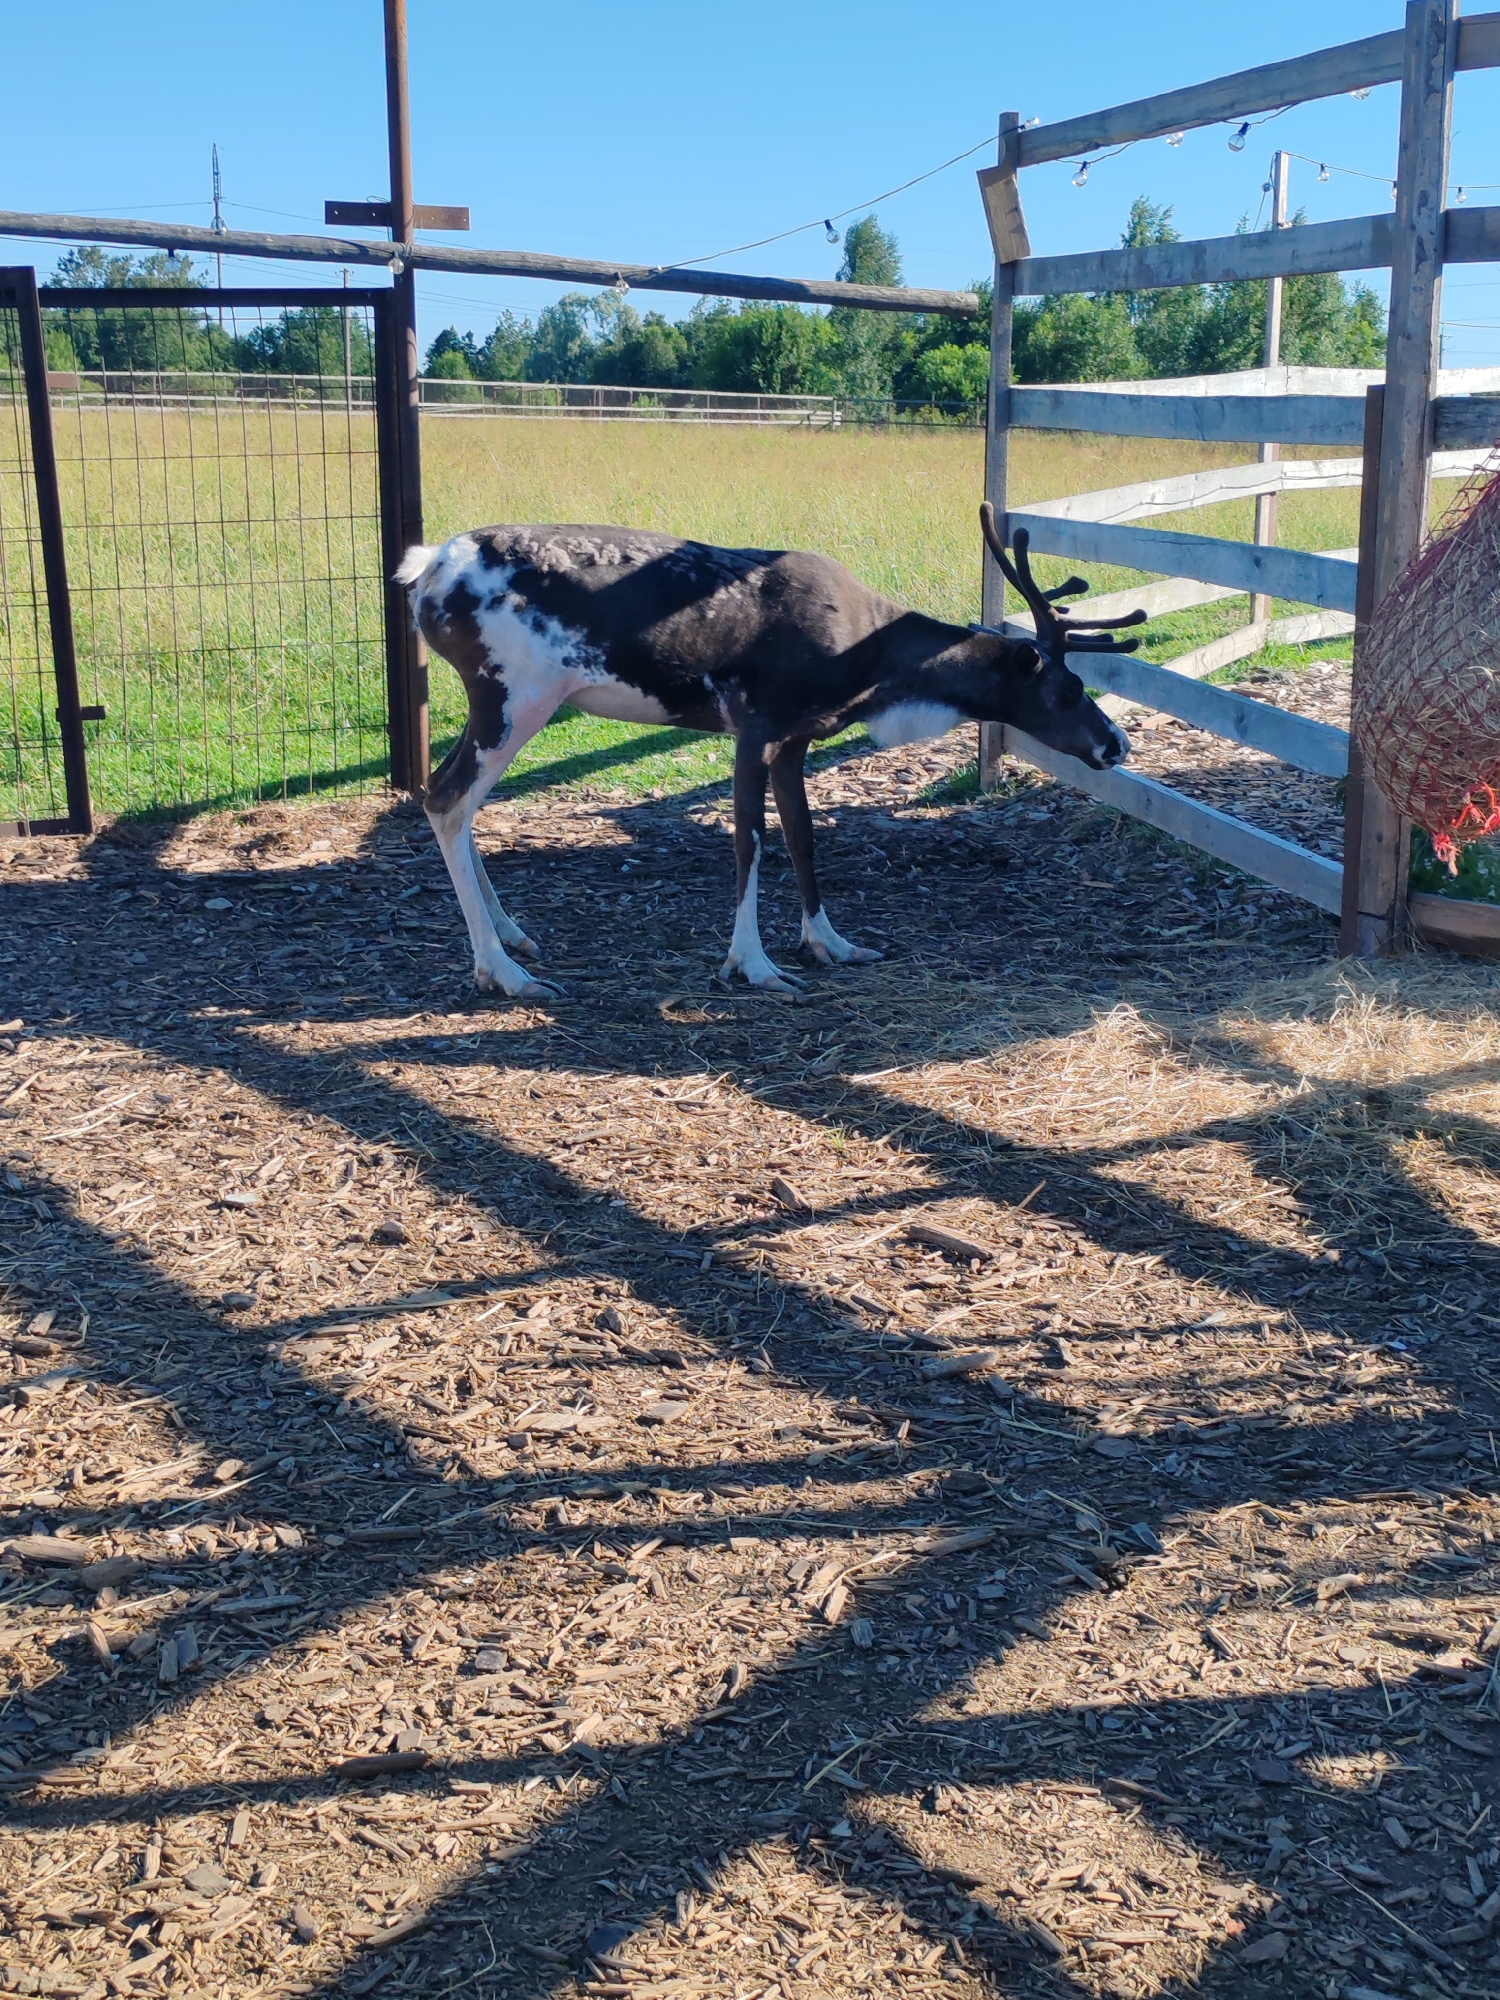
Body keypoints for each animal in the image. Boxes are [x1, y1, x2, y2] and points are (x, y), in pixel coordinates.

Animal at [397, 502, 1146, 1000]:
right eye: (1068, 688)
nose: (1117, 743)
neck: (871, 670)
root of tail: (426, 572)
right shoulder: (754, 725)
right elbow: (749, 839)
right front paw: (751, 963)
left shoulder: (795, 739)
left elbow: (803, 836)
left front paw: (831, 943)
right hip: (515, 693)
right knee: (448, 799)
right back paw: (504, 971)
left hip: (503, 702)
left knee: (450, 797)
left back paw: (513, 935)